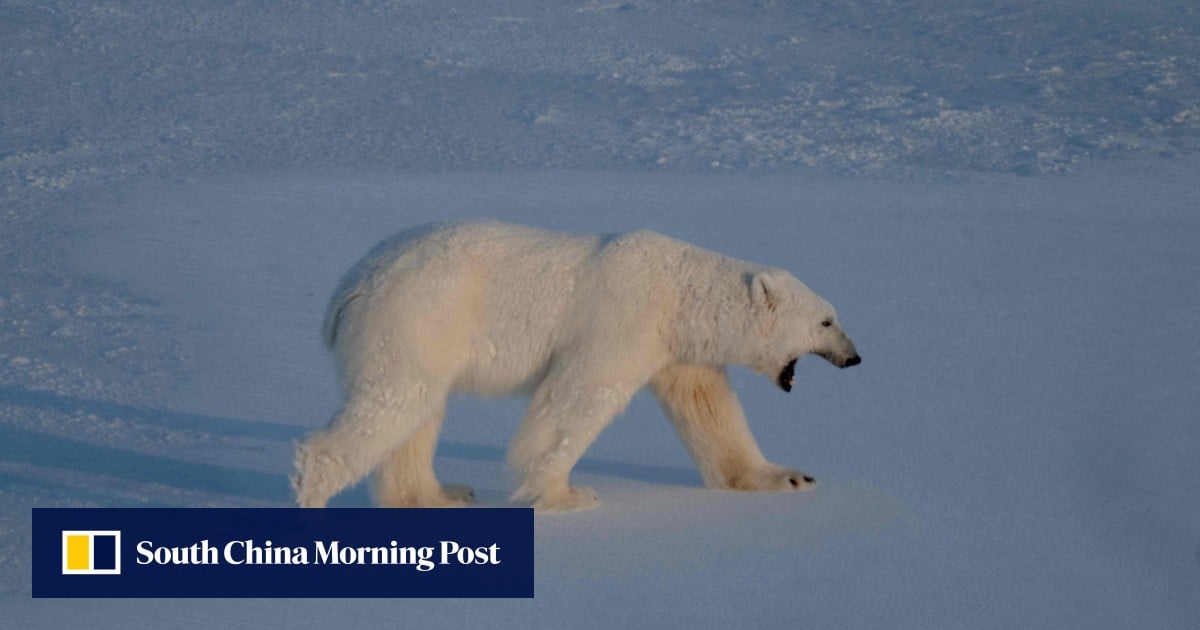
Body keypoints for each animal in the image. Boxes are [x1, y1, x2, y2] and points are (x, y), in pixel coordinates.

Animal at [293, 221, 860, 512]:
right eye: (827, 321)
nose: (855, 357)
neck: (679, 293)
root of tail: (348, 287)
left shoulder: (675, 348)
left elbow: (709, 409)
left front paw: (789, 477)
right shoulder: (622, 319)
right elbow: (579, 396)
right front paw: (566, 492)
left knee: (417, 413)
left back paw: (438, 494)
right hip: (419, 316)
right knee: (392, 402)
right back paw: (313, 492)